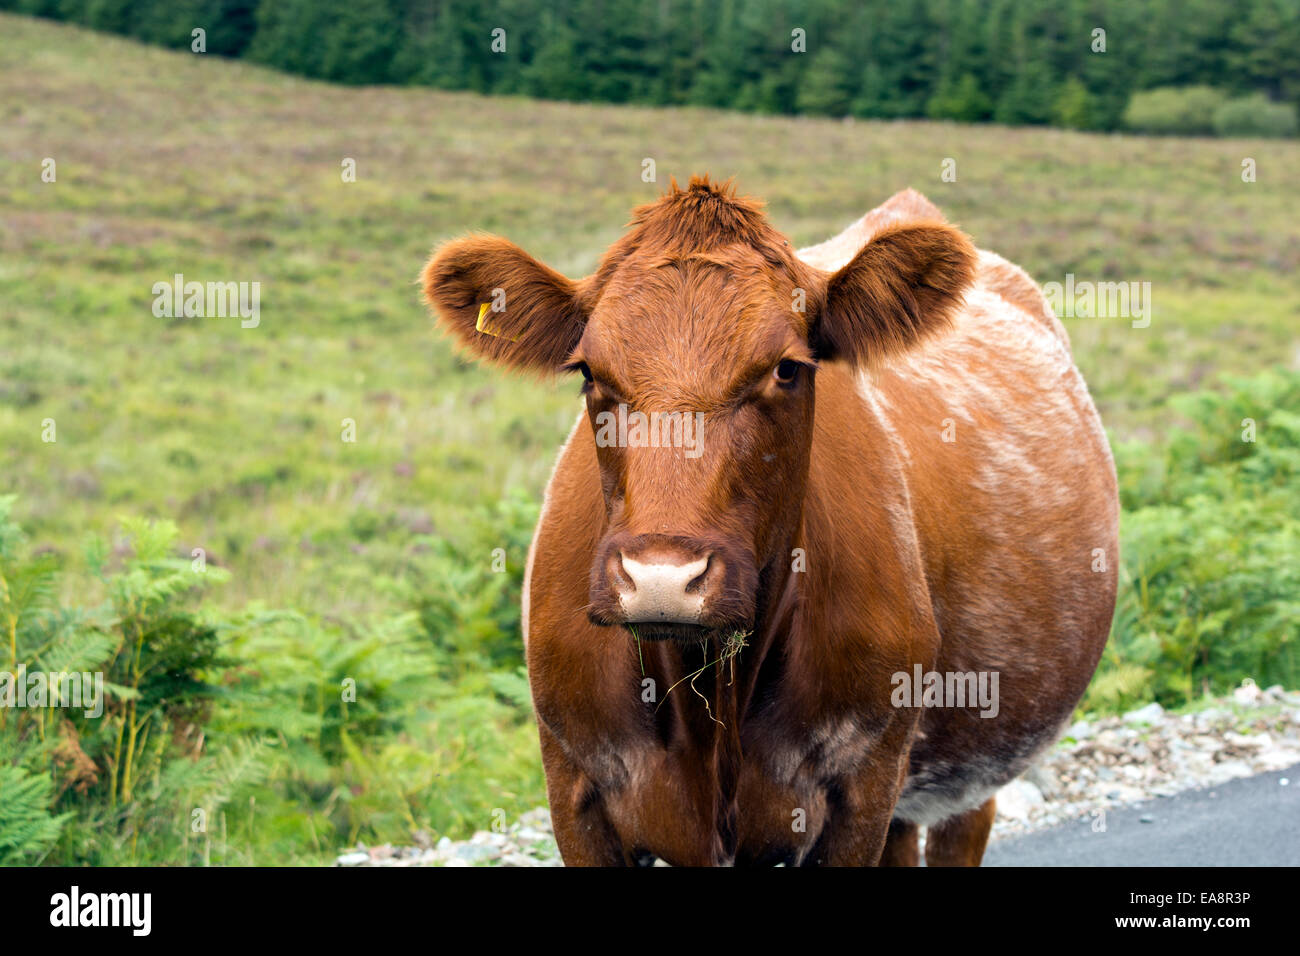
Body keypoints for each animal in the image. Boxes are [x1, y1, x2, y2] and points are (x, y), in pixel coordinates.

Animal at [423, 178, 1118, 868]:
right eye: (589, 372)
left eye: (787, 368)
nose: (660, 578)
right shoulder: (573, 790)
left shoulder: (862, 790)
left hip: (967, 774)